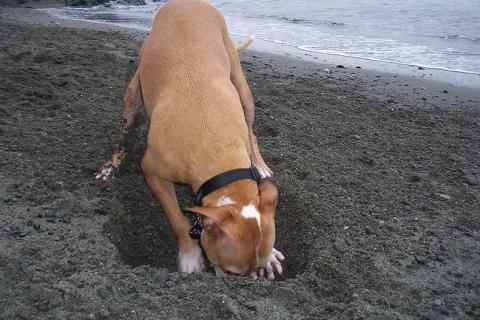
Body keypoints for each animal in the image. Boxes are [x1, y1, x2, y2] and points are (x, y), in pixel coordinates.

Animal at [98, 0, 284, 278]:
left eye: (258, 268)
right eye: (231, 273)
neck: (216, 148)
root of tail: (188, 2)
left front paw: (271, 256)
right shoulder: (152, 171)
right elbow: (176, 218)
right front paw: (189, 254)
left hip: (241, 86)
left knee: (251, 129)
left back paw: (259, 164)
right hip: (133, 94)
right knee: (125, 131)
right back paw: (110, 166)